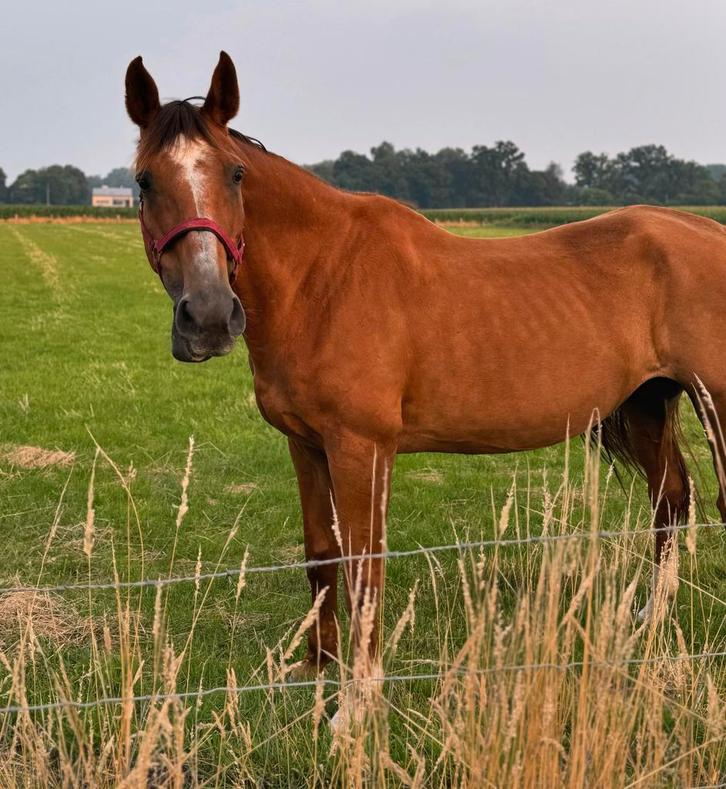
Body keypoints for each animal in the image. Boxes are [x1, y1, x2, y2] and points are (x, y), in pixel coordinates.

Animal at [125, 51, 726, 675]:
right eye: (144, 179)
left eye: (236, 174)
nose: (210, 316)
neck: (323, 278)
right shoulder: (307, 444)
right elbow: (322, 555)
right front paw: (318, 671)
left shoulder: (362, 448)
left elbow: (365, 566)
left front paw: (359, 691)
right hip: (649, 402)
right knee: (670, 501)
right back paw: (651, 619)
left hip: (715, 402)